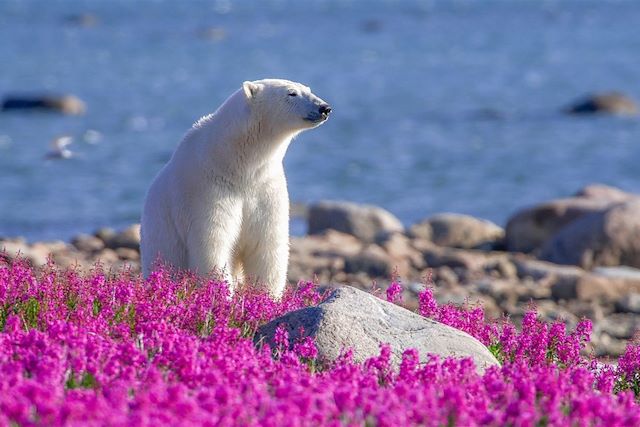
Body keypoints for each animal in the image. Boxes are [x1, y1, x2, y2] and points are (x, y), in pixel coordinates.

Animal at [140, 78, 330, 298]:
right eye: (291, 93)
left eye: (308, 89)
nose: (324, 108)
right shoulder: (206, 188)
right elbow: (213, 244)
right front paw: (223, 296)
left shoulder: (265, 187)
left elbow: (266, 245)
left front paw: (267, 298)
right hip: (161, 239)